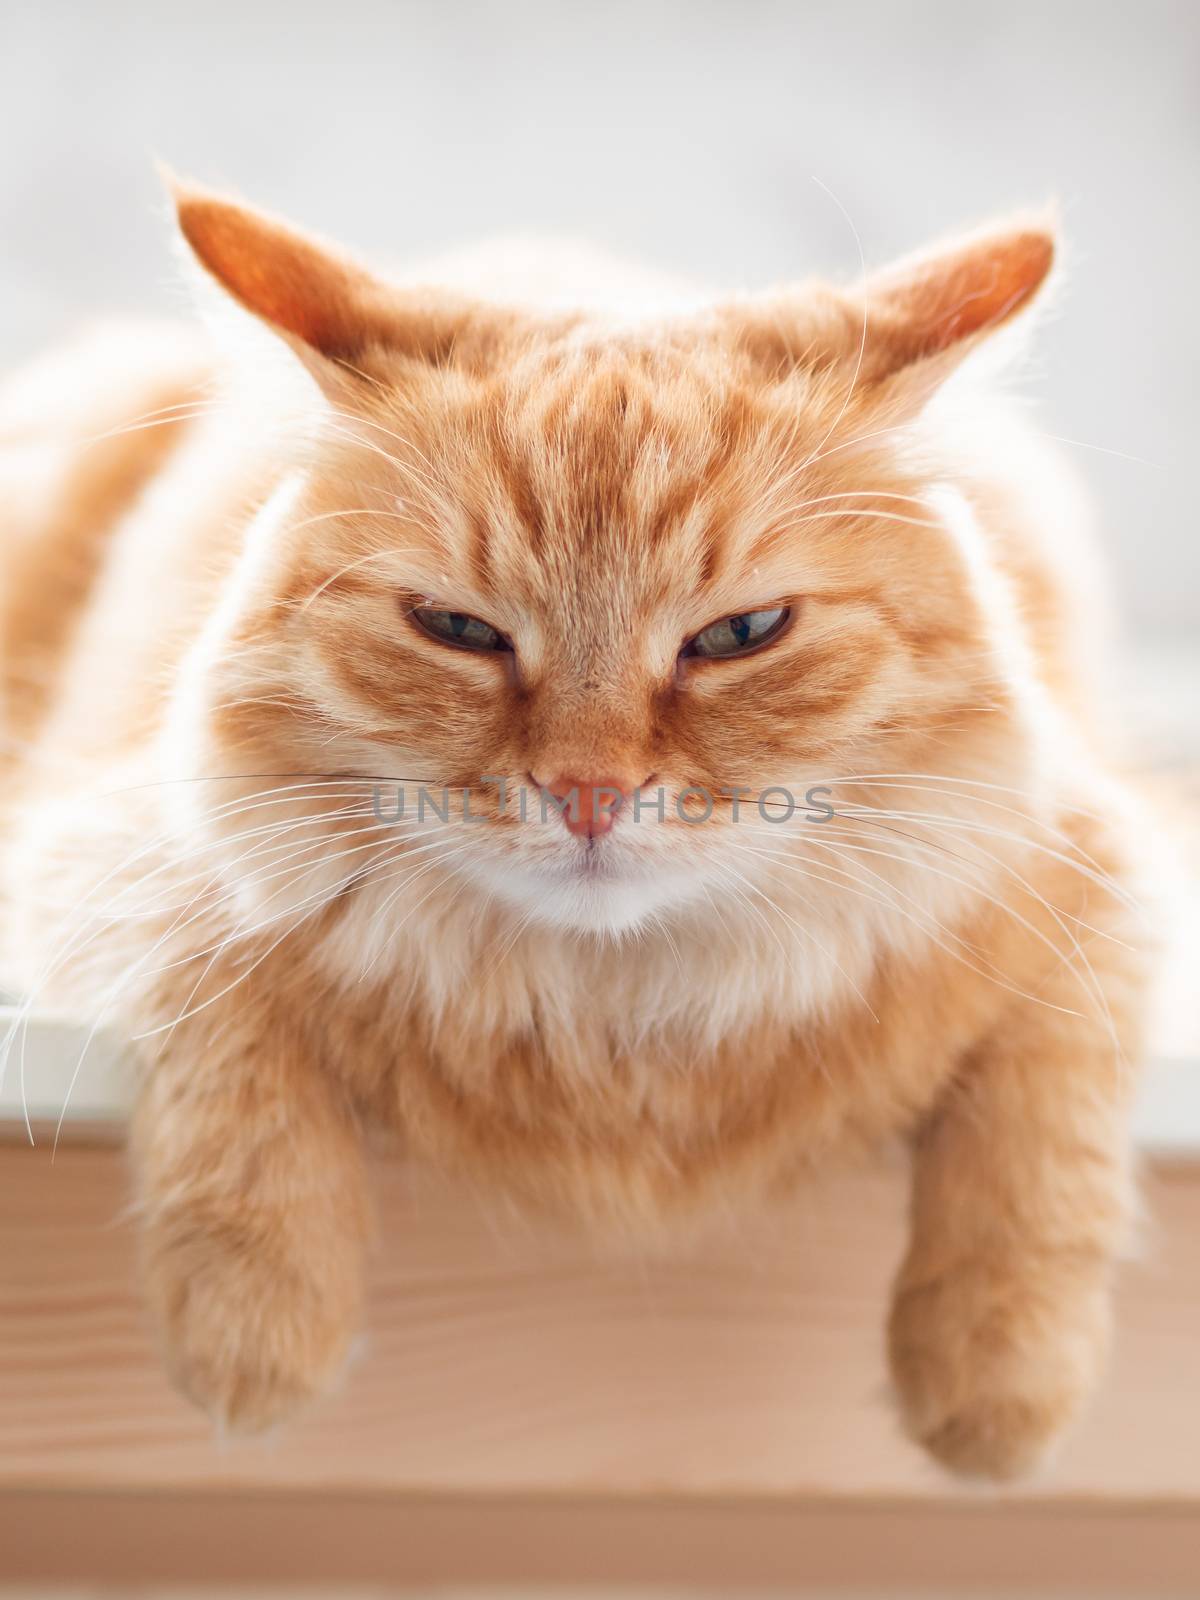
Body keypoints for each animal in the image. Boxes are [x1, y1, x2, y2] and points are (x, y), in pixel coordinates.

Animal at [0, 184, 1158, 1472]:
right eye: (459, 629)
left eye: (739, 634)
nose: (588, 792)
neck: (615, 1025)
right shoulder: (103, 855)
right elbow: (230, 1053)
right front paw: (258, 1333)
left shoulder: (1093, 872)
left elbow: (1044, 1134)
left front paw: (996, 1385)